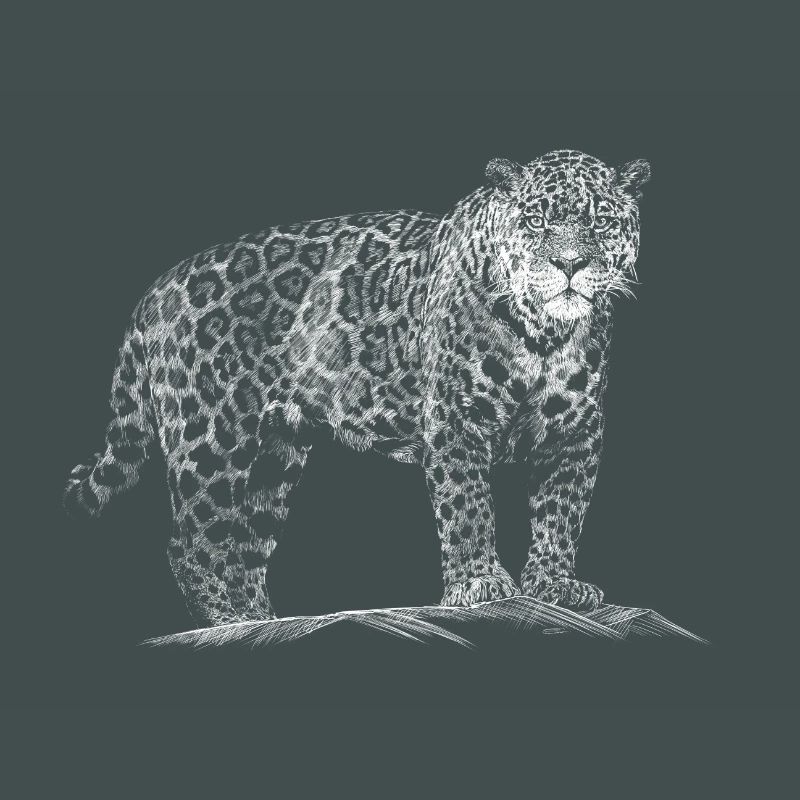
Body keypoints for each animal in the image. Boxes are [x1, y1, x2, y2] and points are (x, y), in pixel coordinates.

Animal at [64, 149, 650, 627]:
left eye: (601, 221)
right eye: (535, 220)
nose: (570, 263)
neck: (545, 334)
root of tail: (154, 291)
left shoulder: (575, 432)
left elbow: (561, 512)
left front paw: (554, 585)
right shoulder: (455, 420)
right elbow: (467, 506)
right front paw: (480, 584)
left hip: (276, 454)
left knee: (247, 547)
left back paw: (262, 620)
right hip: (211, 437)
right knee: (192, 542)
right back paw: (227, 622)